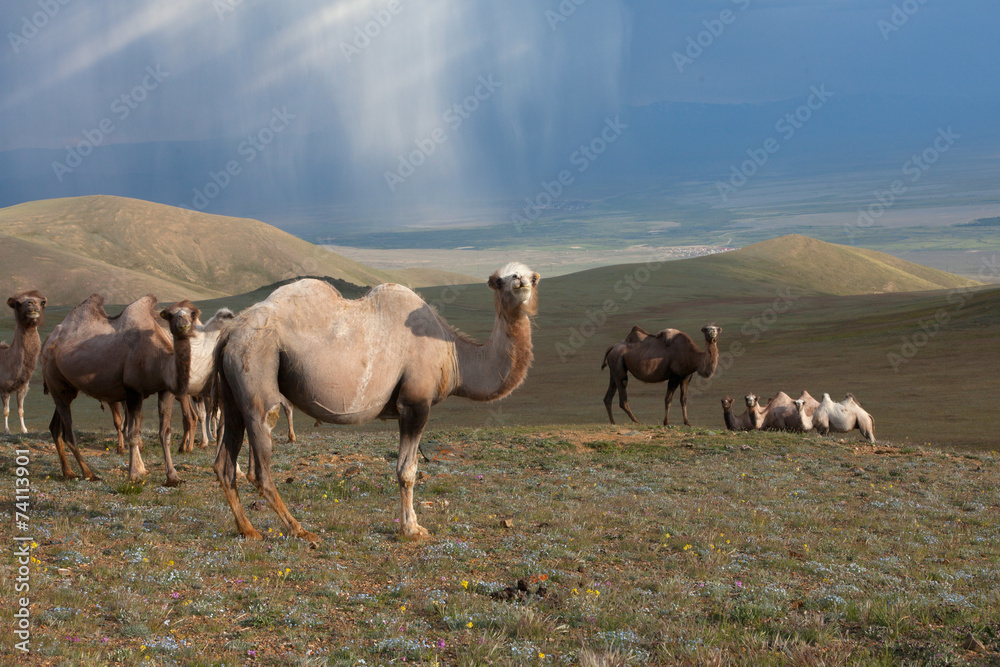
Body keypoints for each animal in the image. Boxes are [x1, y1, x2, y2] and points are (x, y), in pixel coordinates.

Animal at [1, 291, 47, 434]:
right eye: (17, 303)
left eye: (42, 302)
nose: (32, 303)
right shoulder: (4, 387)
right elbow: (6, 411)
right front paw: (7, 430)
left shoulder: (22, 387)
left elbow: (21, 410)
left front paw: (24, 429)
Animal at [41, 295, 199, 484]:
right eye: (170, 315)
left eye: (192, 314)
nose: (183, 324)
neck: (159, 358)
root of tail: (47, 342)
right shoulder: (134, 391)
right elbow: (133, 433)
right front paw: (134, 475)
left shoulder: (165, 390)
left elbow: (165, 433)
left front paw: (173, 477)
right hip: (54, 380)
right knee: (68, 432)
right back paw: (88, 473)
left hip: (67, 388)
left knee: (55, 427)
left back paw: (68, 472)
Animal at [213, 263, 539, 544]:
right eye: (500, 278)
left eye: (532, 275)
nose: (520, 281)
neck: (452, 353)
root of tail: (230, 332)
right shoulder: (415, 403)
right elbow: (407, 470)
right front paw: (412, 529)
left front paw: (412, 525)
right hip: (256, 363)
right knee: (261, 458)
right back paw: (300, 530)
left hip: (232, 394)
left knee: (224, 463)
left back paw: (248, 530)